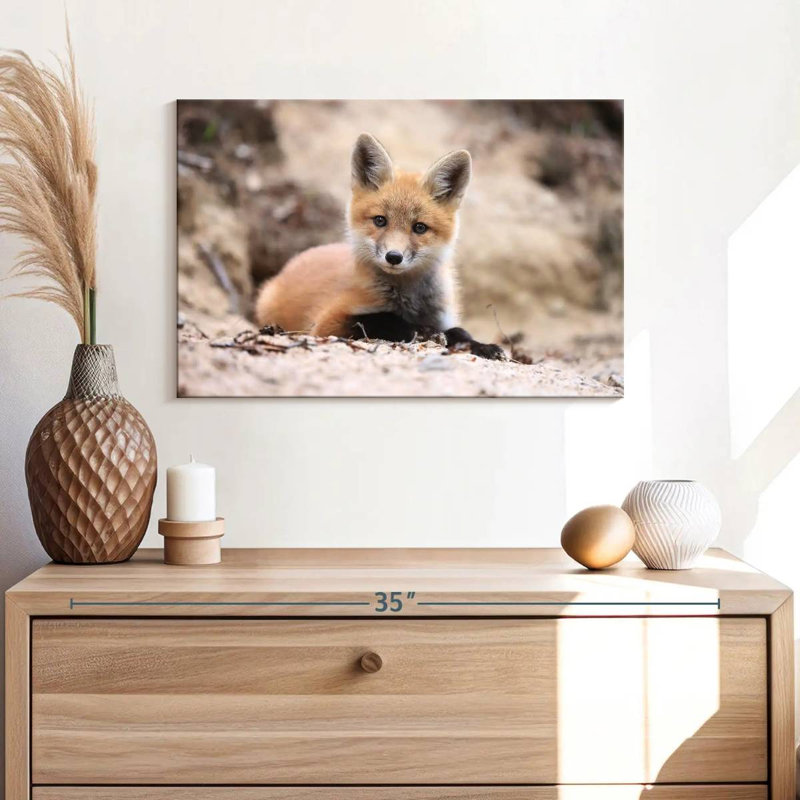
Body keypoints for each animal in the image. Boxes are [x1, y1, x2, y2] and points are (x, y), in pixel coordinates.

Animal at [254, 133, 505, 360]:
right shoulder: (327, 323)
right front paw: (424, 331)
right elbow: (383, 319)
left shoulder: (443, 317)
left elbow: (461, 332)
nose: (393, 257)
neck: (409, 301)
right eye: (380, 220)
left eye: (419, 227)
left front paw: (483, 346)